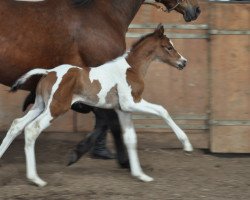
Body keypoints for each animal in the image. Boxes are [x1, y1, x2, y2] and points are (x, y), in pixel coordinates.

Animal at [0, 0, 200, 166]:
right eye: (169, 47)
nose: (196, 9)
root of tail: (48, 73)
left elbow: (107, 120)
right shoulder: (111, 90)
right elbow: (111, 121)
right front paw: (121, 159)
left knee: (18, 124)